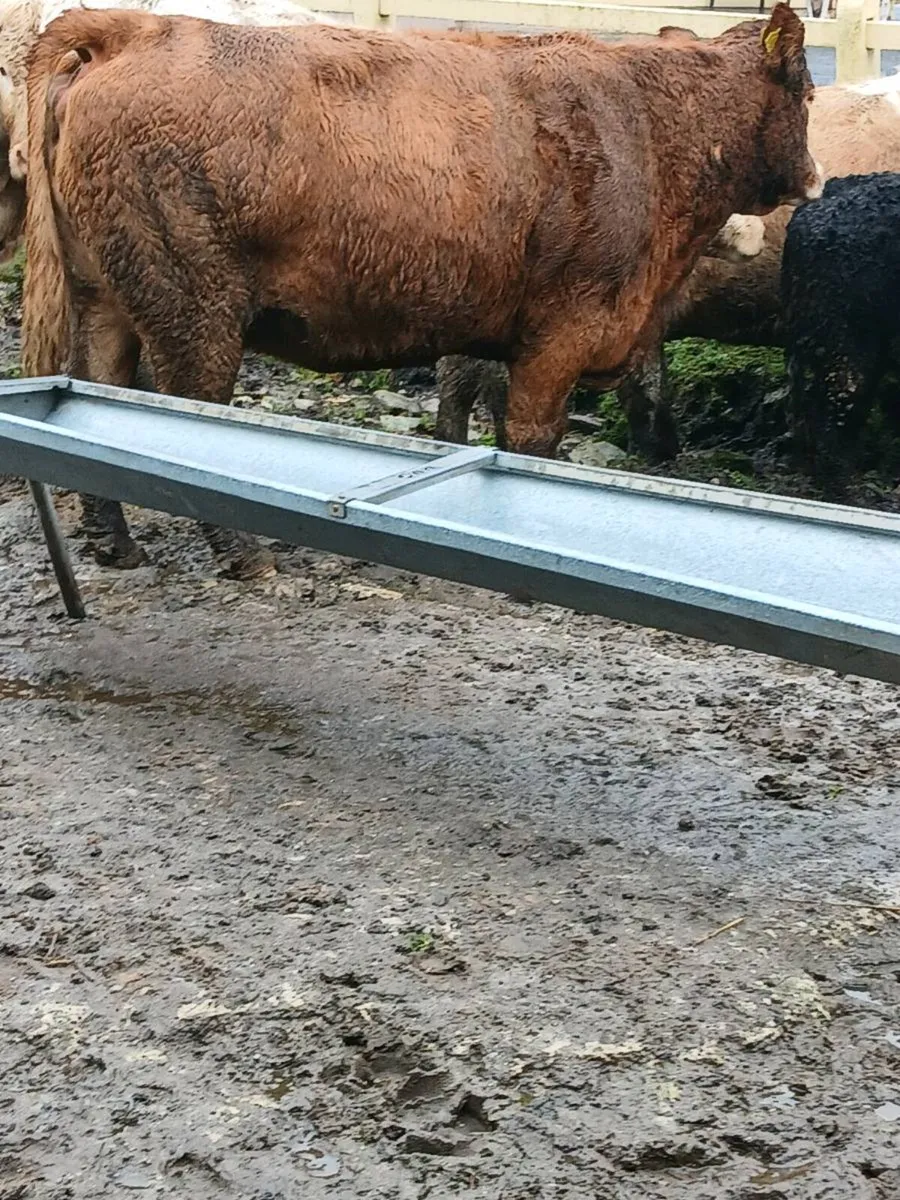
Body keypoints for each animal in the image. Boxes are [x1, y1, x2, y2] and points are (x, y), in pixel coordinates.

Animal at [22, 5, 820, 577]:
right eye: (809, 91)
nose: (815, 177)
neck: (652, 125)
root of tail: (136, 28)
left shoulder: (501, 331)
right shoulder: (562, 335)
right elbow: (531, 440)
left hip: (107, 301)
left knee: (98, 390)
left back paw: (113, 541)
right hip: (196, 314)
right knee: (183, 415)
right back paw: (242, 557)